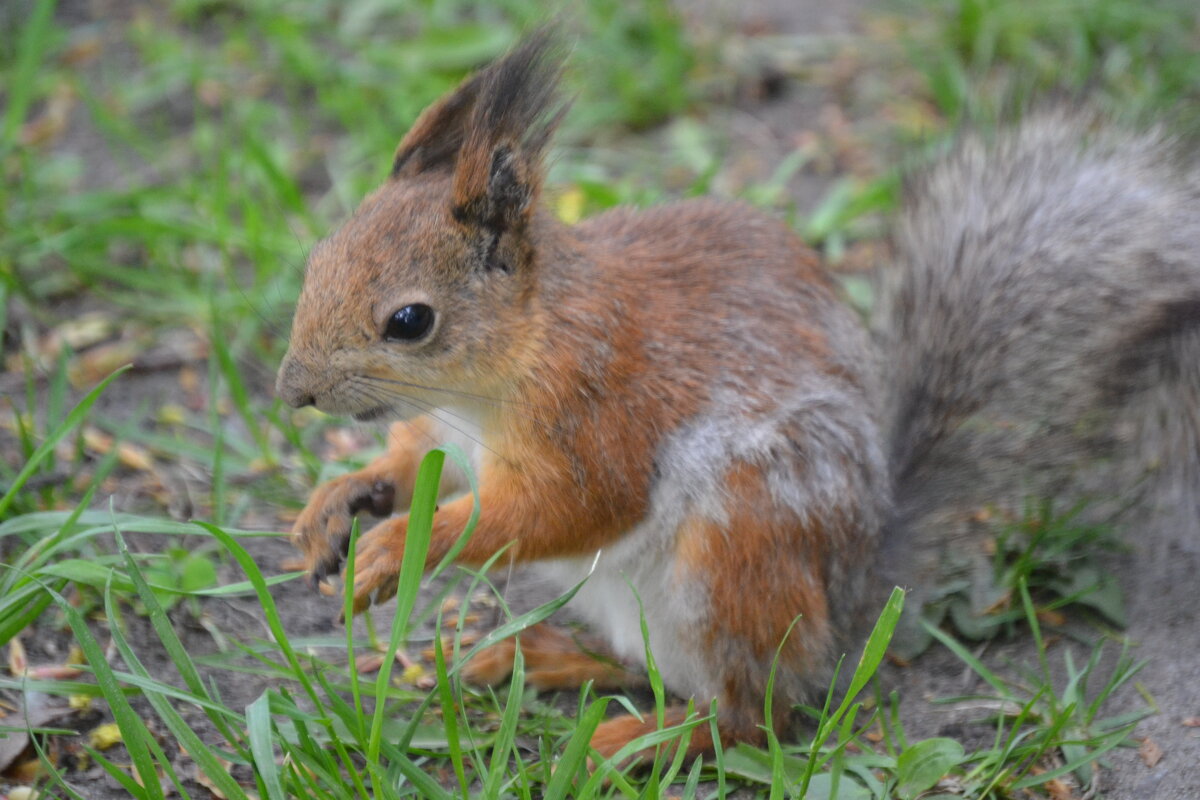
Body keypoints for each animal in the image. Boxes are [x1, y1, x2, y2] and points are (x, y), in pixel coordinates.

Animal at [274, 32, 1200, 762]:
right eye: (318, 256)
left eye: (410, 321)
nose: (293, 392)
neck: (489, 379)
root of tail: (854, 600)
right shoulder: (445, 431)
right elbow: (412, 459)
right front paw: (343, 498)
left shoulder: (597, 409)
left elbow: (566, 509)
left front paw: (401, 546)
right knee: (650, 669)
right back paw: (541, 659)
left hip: (739, 554)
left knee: (752, 716)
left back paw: (637, 739)